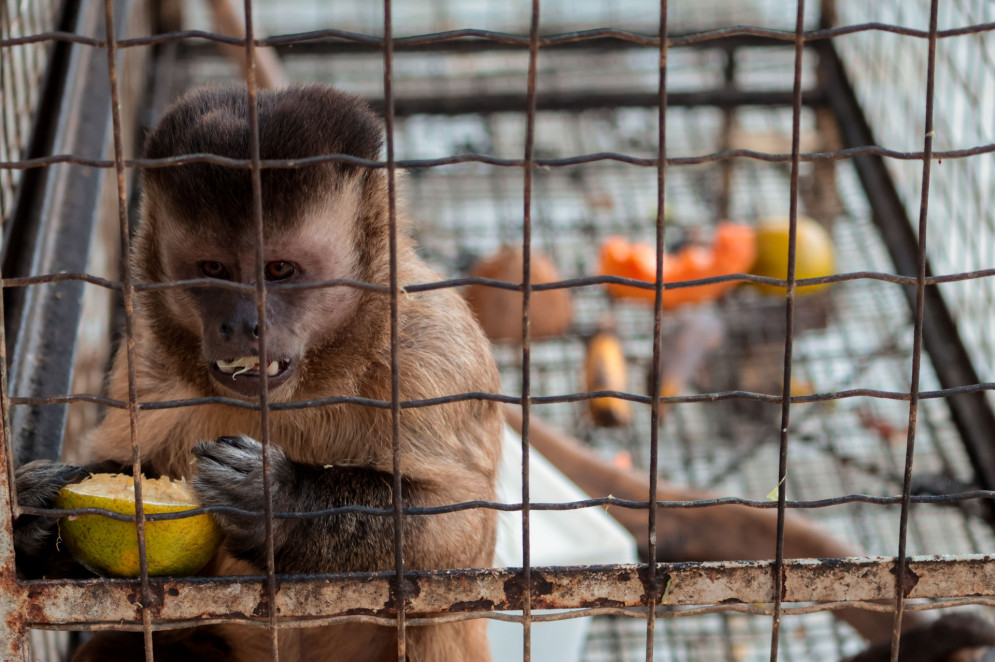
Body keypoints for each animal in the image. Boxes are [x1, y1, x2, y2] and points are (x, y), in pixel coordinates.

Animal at [11, 85, 502, 660]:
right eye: (214, 270)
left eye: (279, 270)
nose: (241, 324)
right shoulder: (145, 361)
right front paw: (32, 514)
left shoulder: (429, 351)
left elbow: (461, 532)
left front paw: (277, 499)